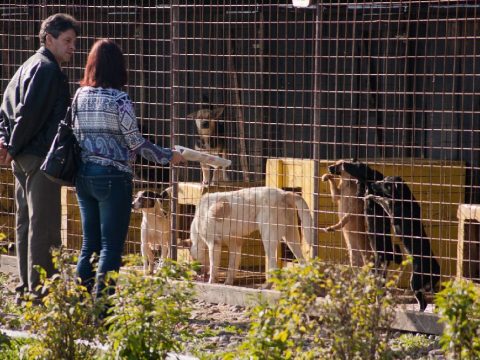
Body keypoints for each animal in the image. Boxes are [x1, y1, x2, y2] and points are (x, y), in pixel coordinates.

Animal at [370, 176, 440, 310]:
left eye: (386, 184)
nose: (372, 183)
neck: (404, 198)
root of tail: (435, 268)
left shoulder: (394, 214)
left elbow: (385, 201)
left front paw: (373, 197)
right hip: (429, 283)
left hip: (415, 281)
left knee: (423, 302)